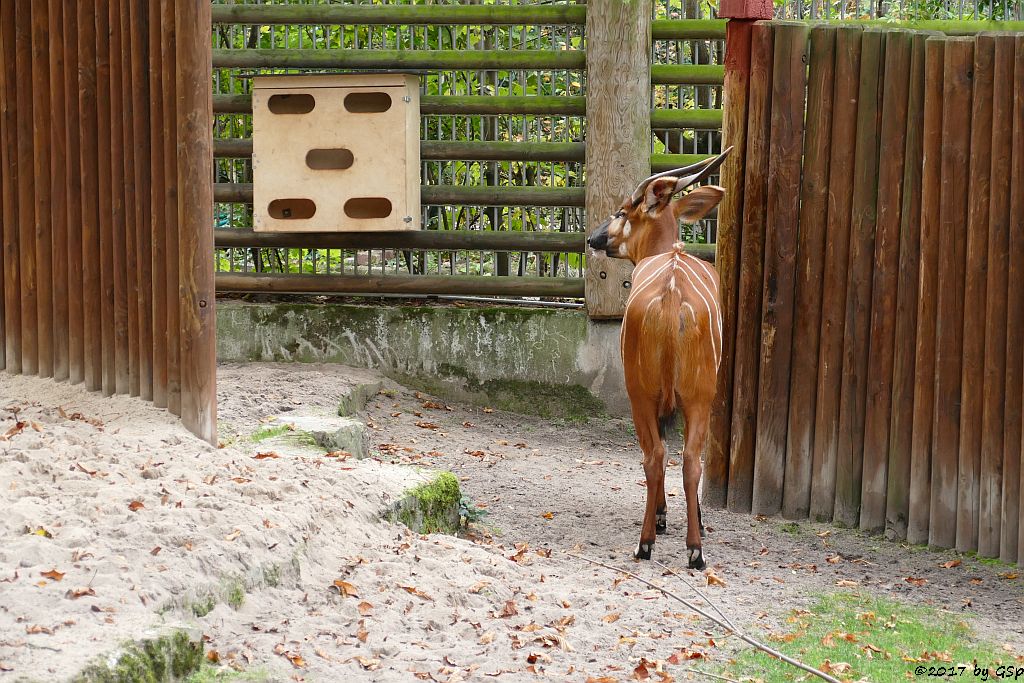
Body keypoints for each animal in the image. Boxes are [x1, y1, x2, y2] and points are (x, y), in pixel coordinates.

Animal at [585, 149, 729, 573]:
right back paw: (695, 550)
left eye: (622, 211)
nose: (593, 238)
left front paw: (664, 519)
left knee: (655, 457)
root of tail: (671, 293)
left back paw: (646, 542)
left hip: (643, 396)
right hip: (699, 399)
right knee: (690, 461)